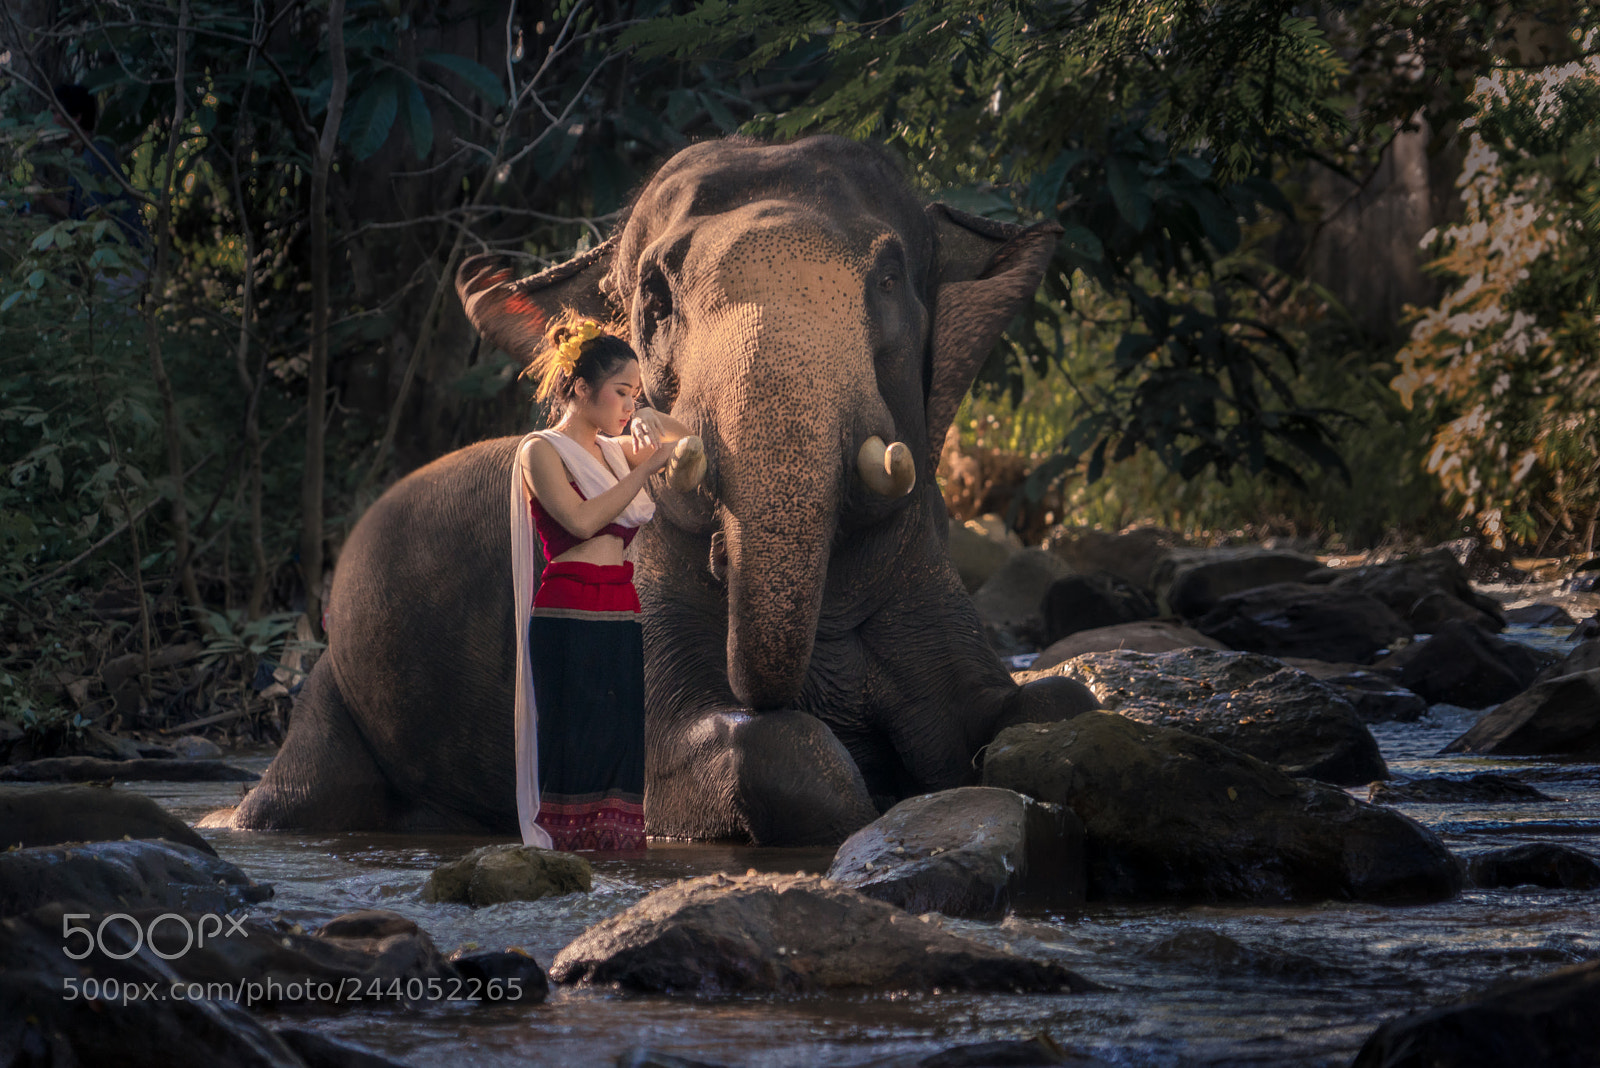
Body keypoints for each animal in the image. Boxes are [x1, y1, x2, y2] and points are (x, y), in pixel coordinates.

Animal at [231, 135, 1095, 845]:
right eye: (654, 298)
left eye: (889, 277)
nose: (723, 558)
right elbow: (738, 750)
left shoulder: (928, 582)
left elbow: (1053, 708)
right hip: (331, 687)